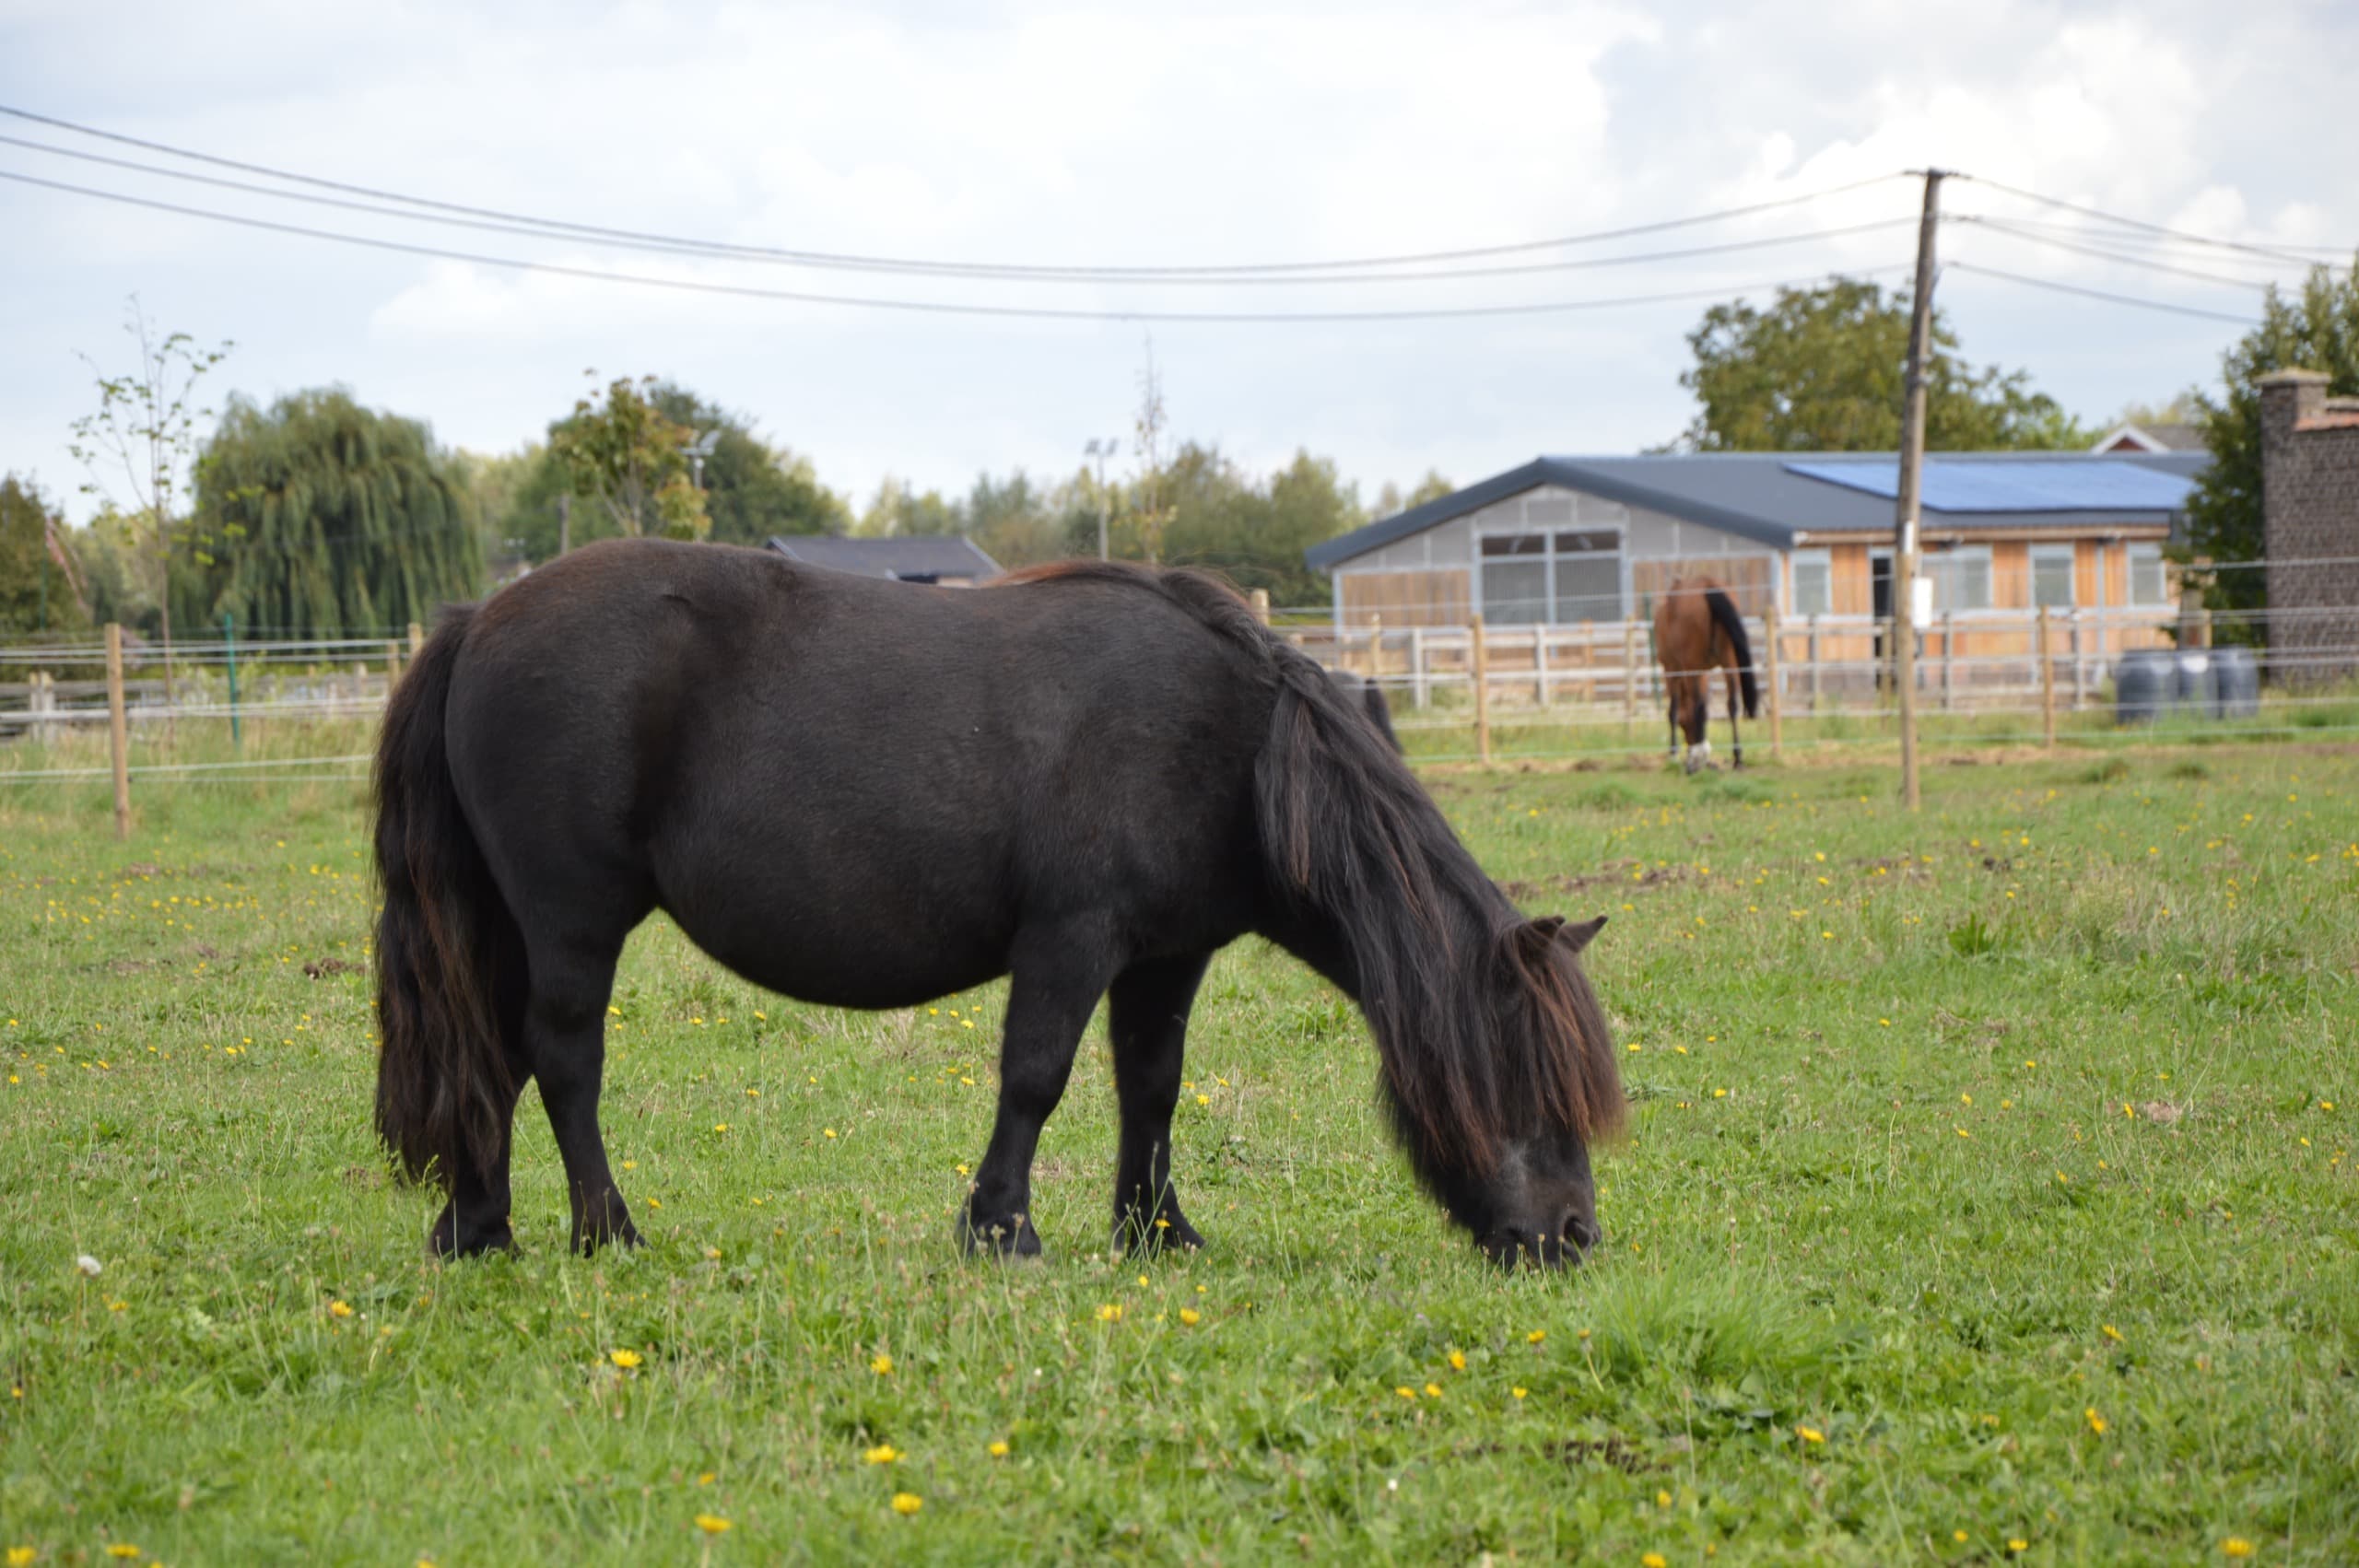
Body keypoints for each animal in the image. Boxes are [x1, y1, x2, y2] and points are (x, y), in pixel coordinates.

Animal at [374, 539, 1623, 1269]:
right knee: (560, 1060)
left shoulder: (1164, 957)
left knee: (491, 1059)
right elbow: (1036, 1077)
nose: (1572, 1235)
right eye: (1524, 1074)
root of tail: (476, 619)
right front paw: (1003, 1228)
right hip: (571, 920)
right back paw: (607, 1230)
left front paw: (1158, 1233)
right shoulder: (1071, 938)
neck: (1236, 743)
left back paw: (478, 1228)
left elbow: (1150, 1089)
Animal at [1652, 576, 1759, 774]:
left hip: (1693, 665)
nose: (1689, 743)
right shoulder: (1702, 673)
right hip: (1729, 662)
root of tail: (1709, 585)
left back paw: (1695, 760)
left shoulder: (1672, 669)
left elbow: (1674, 711)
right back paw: (1737, 757)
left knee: (1699, 707)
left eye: (1683, 724)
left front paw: (1675, 755)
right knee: (1732, 704)